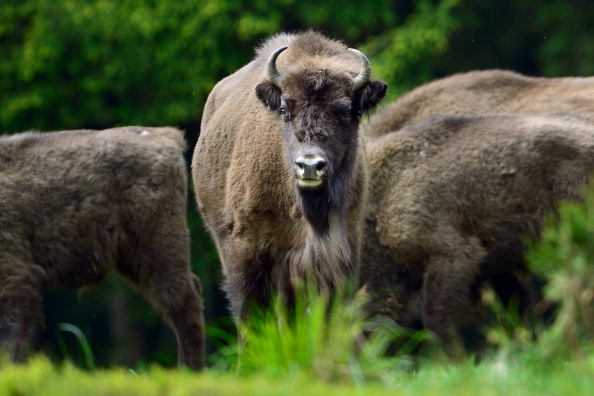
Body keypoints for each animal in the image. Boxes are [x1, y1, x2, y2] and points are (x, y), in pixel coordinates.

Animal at [0, 127, 204, 372]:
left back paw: (191, 369)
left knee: (183, 299)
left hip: (157, 247)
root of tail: (163, 136)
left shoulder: (14, 277)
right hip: (130, 260)